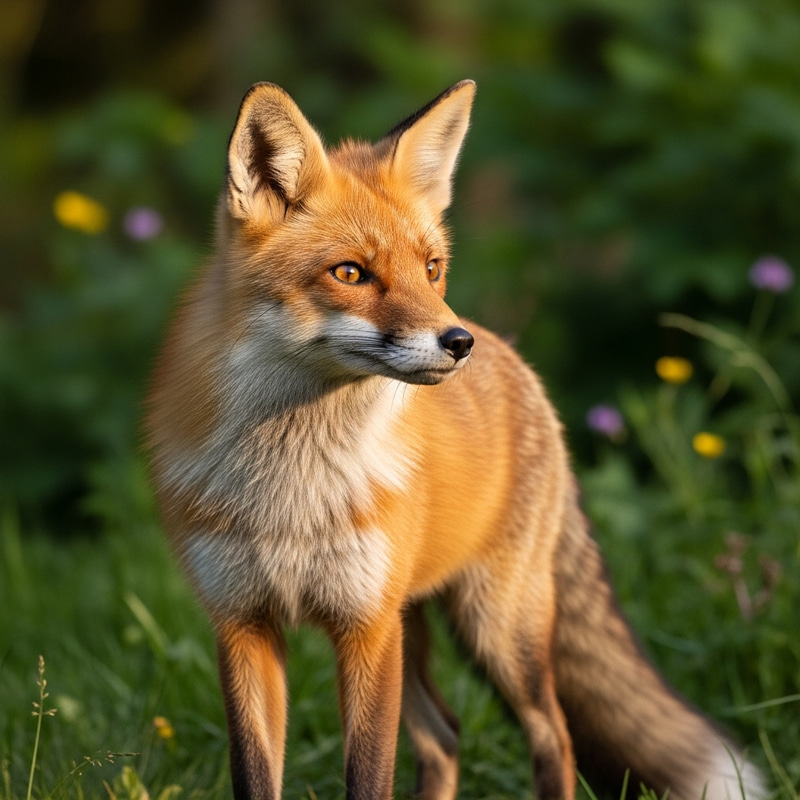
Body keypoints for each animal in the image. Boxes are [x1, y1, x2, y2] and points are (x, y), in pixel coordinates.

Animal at [146, 80, 766, 800]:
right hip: (415, 625)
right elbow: (255, 776)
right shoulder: (244, 625)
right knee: (445, 736)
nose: (458, 341)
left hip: (496, 627)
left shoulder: (365, 627)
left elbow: (368, 778)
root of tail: (519, 363)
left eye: (432, 267)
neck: (292, 494)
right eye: (350, 273)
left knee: (554, 735)